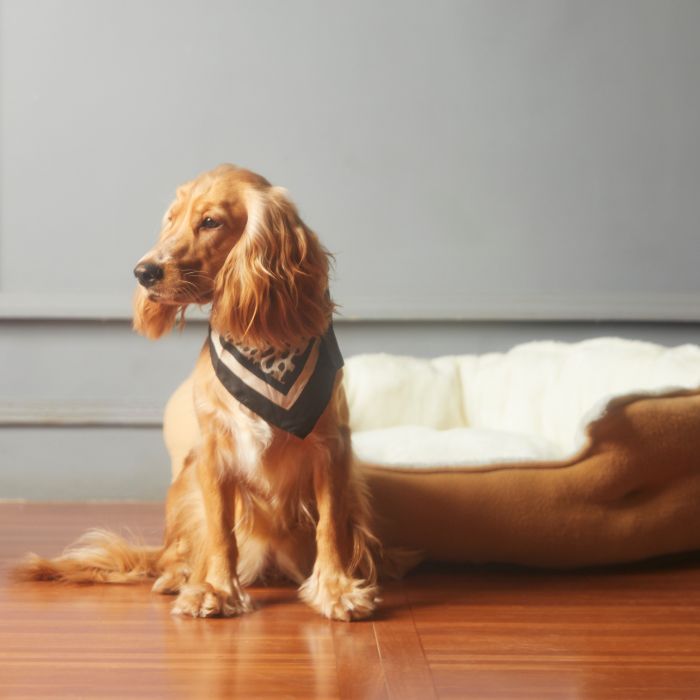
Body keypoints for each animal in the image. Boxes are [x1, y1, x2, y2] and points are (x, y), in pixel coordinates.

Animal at [17, 167, 378, 620]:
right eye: (171, 219)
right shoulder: (212, 454)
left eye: (210, 222)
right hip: (184, 486)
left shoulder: (331, 450)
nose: (144, 271)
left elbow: (330, 527)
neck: (262, 346)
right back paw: (177, 577)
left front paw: (335, 589)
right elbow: (220, 529)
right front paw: (217, 589)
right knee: (177, 553)